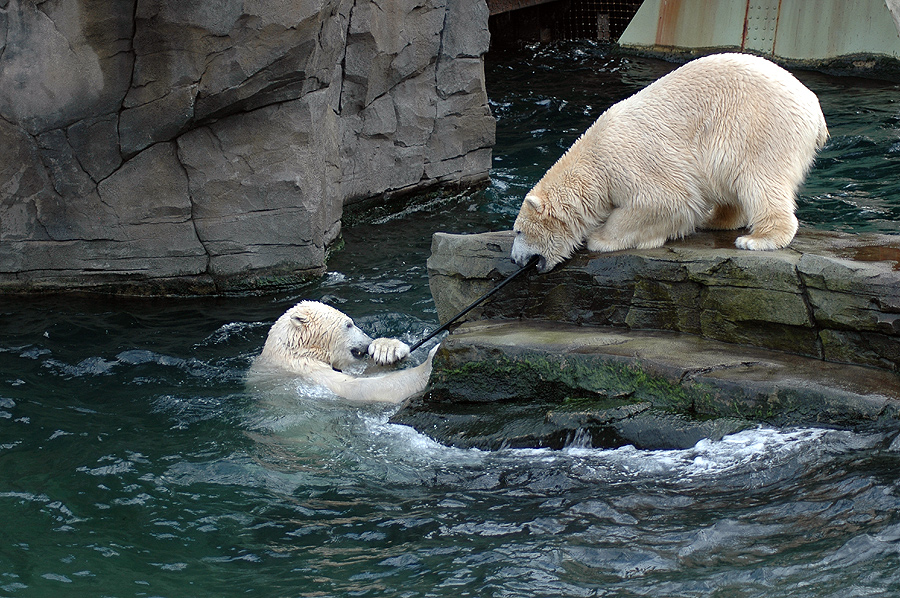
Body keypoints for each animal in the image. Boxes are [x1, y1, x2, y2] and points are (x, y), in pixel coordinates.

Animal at [250, 302, 436, 406]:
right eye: (349, 324)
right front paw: (429, 364)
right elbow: (355, 388)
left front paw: (387, 349)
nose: (368, 342)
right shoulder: (305, 369)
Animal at [512, 52, 828, 274]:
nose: (515, 260)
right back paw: (714, 219)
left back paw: (758, 238)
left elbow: (663, 199)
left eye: (518, 231)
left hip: (757, 127)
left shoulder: (630, 161)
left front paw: (600, 238)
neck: (592, 162)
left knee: (758, 179)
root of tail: (815, 107)